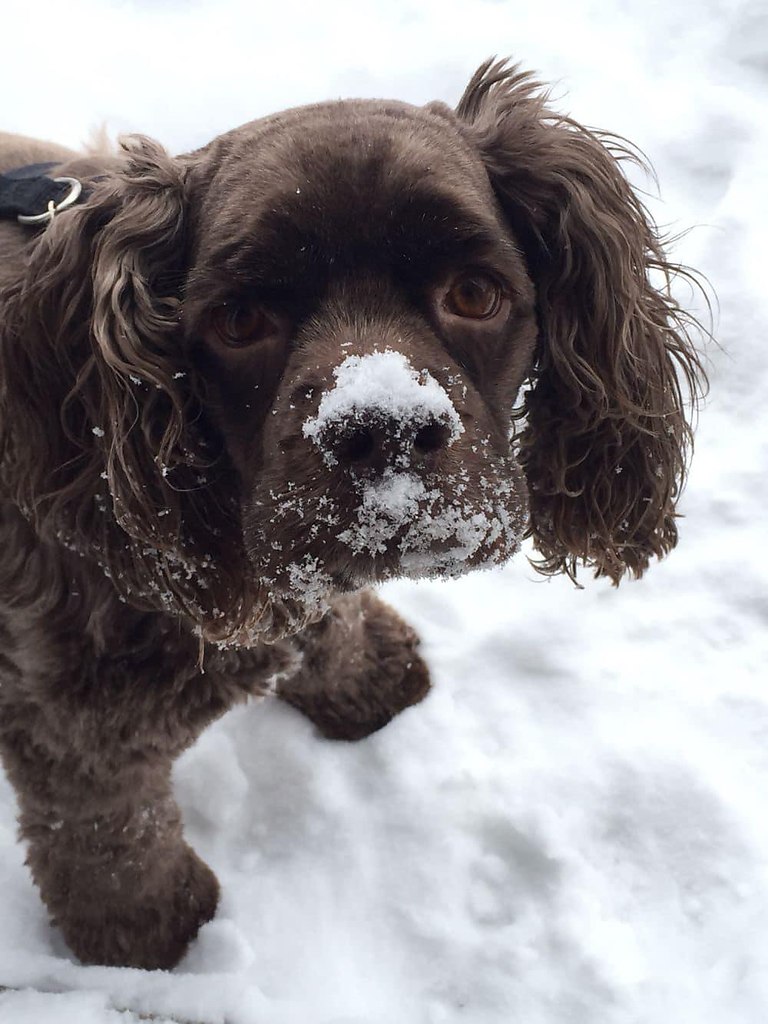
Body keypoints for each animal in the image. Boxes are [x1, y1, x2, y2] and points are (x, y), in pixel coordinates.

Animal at [0, 59, 704, 970]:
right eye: (239, 320)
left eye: (473, 294)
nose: (386, 429)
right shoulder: (71, 722)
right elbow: (111, 832)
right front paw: (148, 929)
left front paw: (366, 673)